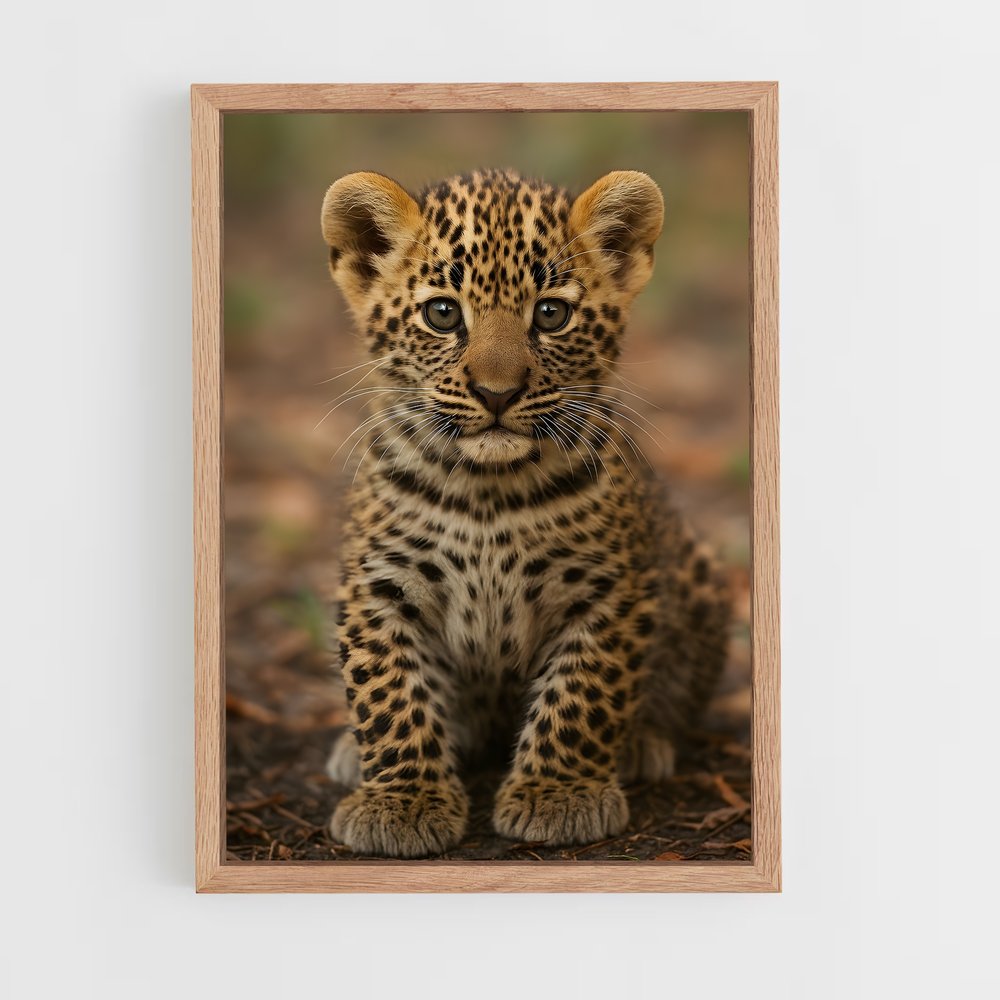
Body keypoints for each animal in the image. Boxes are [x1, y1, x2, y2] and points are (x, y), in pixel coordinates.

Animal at [319, 167, 730, 858]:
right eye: (442, 313)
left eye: (551, 313)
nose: (497, 393)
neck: (487, 490)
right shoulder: (378, 586)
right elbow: (389, 691)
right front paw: (401, 801)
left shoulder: (609, 589)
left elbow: (584, 692)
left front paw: (559, 795)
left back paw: (643, 744)